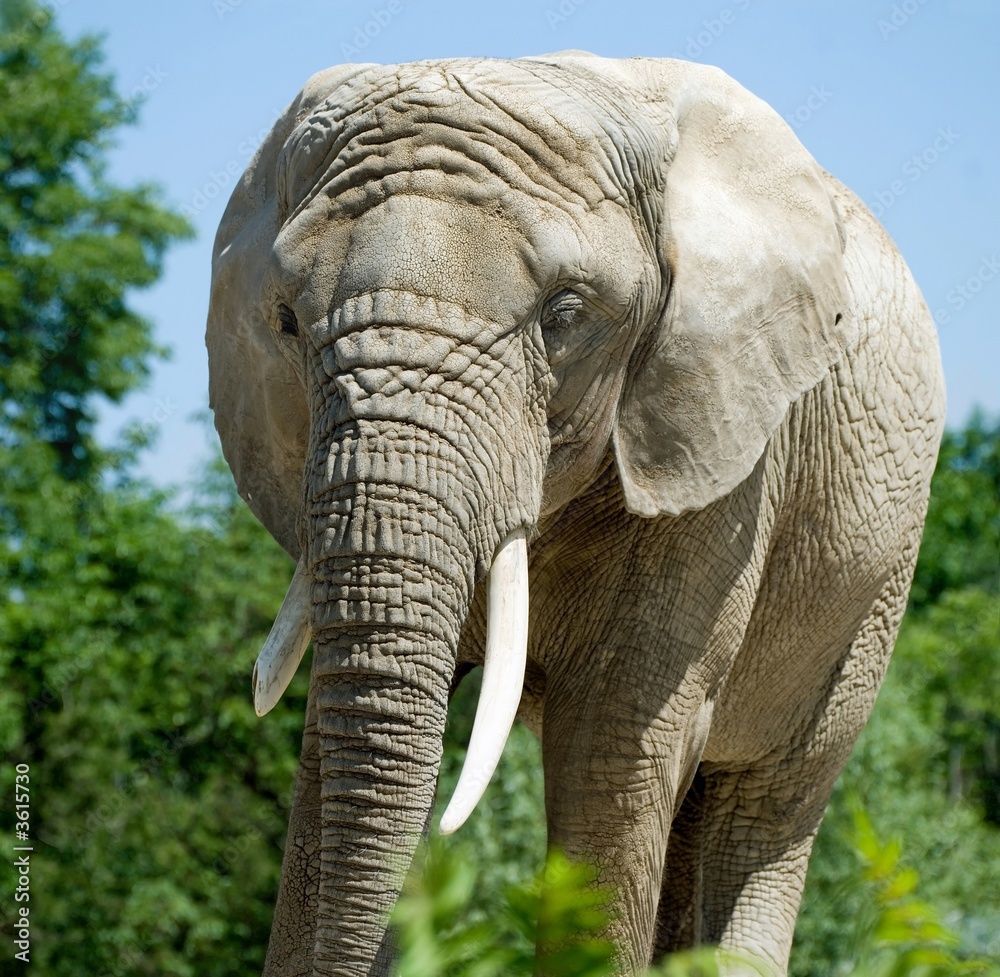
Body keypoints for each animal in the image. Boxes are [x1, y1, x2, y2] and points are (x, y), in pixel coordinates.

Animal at [206, 52, 945, 976]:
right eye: (286, 320)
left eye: (564, 317)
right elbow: (333, 746)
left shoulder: (725, 455)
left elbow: (612, 746)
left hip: (873, 590)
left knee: (765, 807)